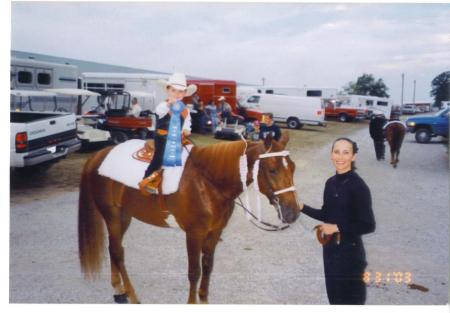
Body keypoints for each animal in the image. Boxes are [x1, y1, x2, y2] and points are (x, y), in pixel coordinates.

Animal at [78, 132, 300, 302]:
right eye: (272, 170)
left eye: (293, 167)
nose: (293, 213)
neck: (208, 183)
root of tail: (97, 156)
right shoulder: (194, 234)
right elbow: (194, 272)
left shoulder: (214, 232)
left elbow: (208, 267)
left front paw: (204, 301)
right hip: (112, 216)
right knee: (117, 252)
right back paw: (131, 296)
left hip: (124, 216)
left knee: (112, 249)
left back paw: (118, 290)